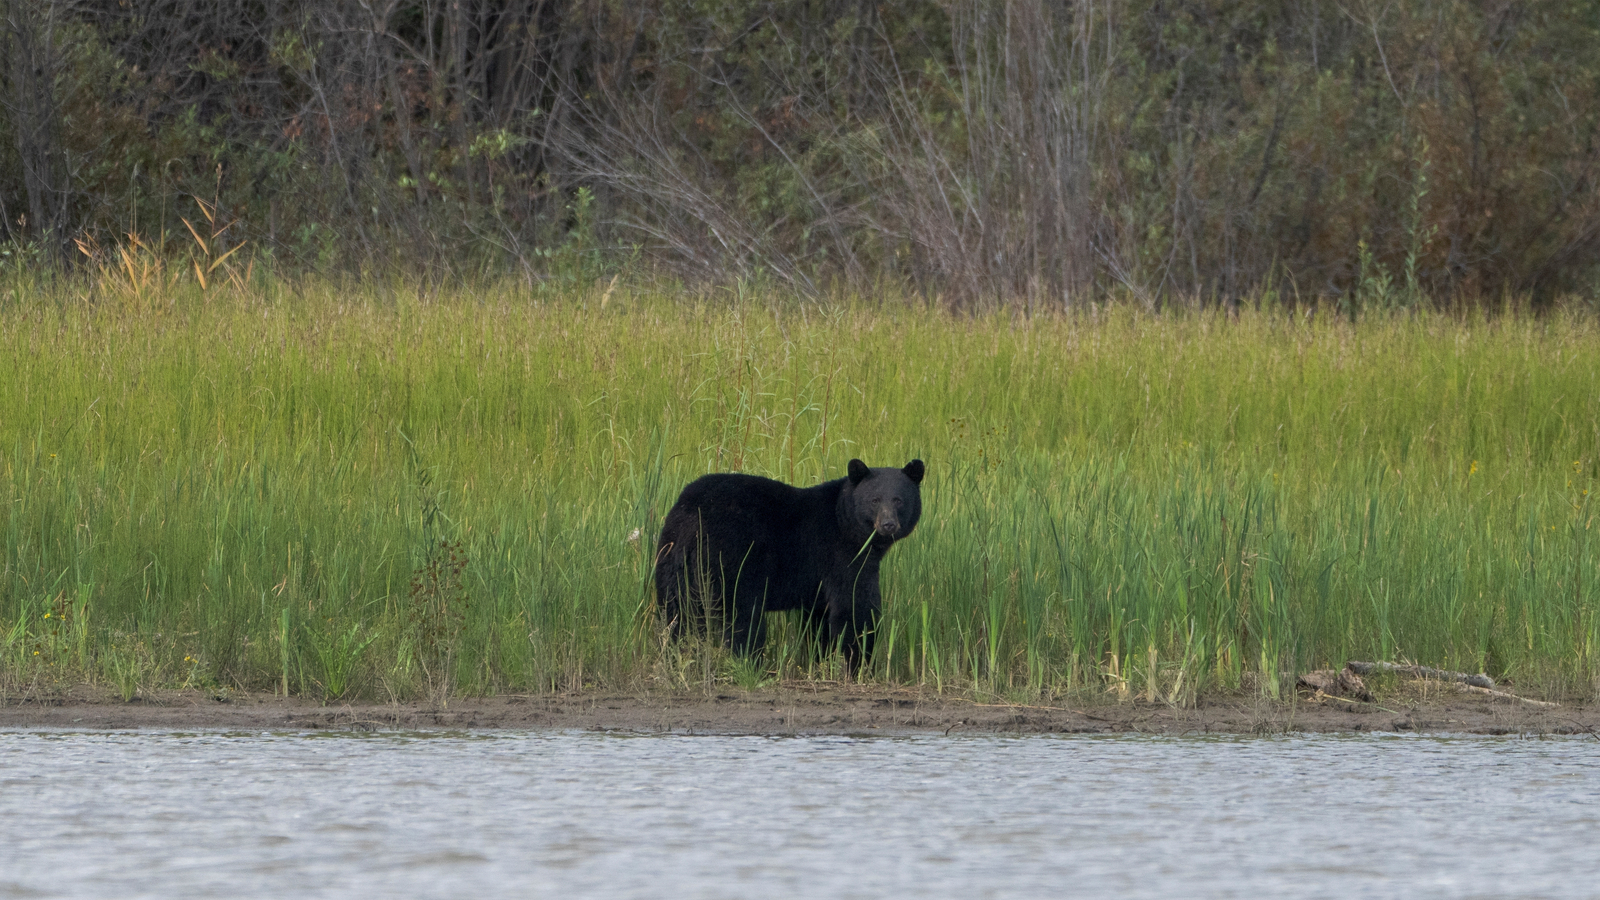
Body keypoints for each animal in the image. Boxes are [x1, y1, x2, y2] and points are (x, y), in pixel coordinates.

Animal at [649, 458, 928, 669]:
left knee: (675, 614)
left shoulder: (817, 584)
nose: (888, 525)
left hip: (671, 558)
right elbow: (855, 608)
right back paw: (751, 664)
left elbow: (819, 620)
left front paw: (820, 661)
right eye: (875, 500)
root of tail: (692, 514)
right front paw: (860, 665)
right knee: (742, 618)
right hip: (730, 560)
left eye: (899, 499)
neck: (844, 522)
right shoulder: (841, 555)